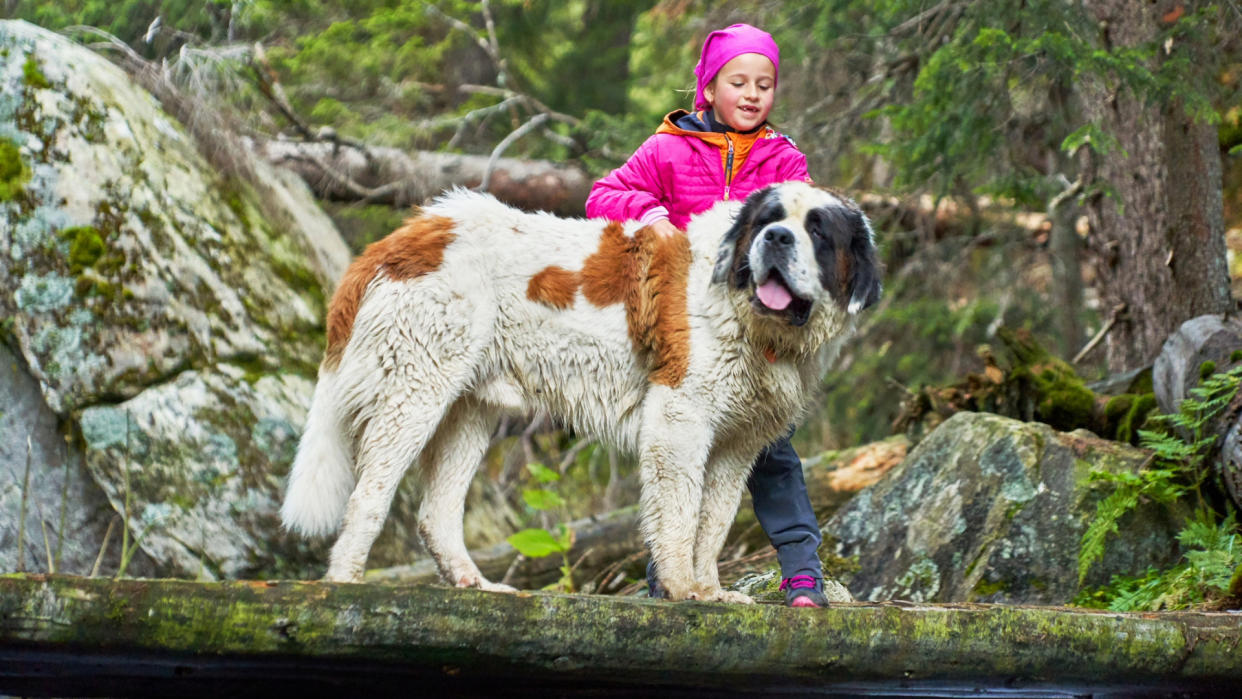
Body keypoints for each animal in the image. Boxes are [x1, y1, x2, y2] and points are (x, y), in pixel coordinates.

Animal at [281, 180, 884, 600]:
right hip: (416, 390)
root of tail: (408, 233)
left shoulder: (737, 444)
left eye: (817, 232)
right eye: (769, 220)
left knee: (436, 513)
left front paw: (711, 591)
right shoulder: (679, 424)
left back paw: (475, 584)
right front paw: (684, 590)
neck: (749, 319)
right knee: (368, 496)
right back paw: (345, 585)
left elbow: (712, 522)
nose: (775, 238)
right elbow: (681, 515)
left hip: (469, 410)